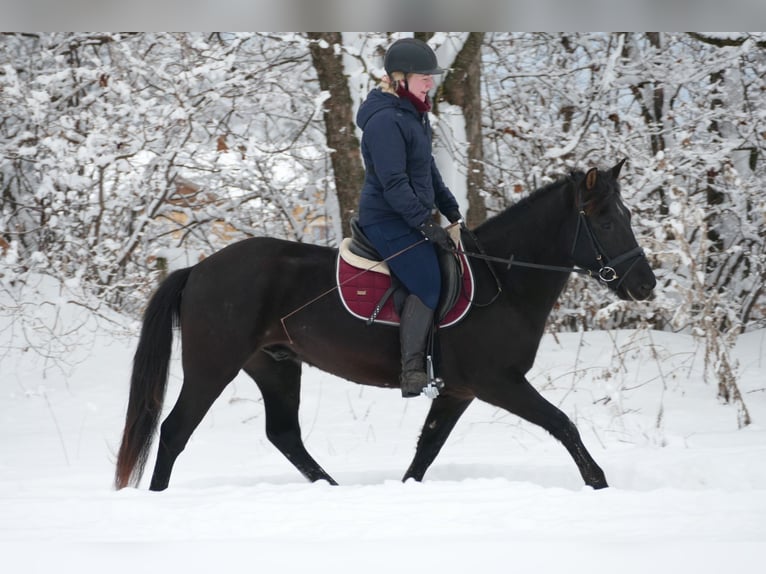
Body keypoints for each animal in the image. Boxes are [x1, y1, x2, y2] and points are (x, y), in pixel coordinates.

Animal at [117, 160, 656, 492]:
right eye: (607, 222)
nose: (646, 284)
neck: (500, 279)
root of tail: (197, 269)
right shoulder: (498, 382)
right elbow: (563, 424)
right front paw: (599, 483)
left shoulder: (458, 390)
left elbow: (426, 451)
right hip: (213, 366)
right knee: (174, 431)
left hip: (275, 366)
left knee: (284, 434)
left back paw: (332, 490)